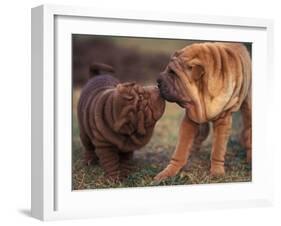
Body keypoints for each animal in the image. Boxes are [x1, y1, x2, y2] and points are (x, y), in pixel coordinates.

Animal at [155, 42, 252, 180]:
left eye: (173, 73)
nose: (157, 80)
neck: (202, 95)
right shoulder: (191, 117)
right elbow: (181, 148)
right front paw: (168, 172)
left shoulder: (223, 120)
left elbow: (218, 149)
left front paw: (217, 172)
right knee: (200, 134)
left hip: (248, 105)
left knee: (248, 129)